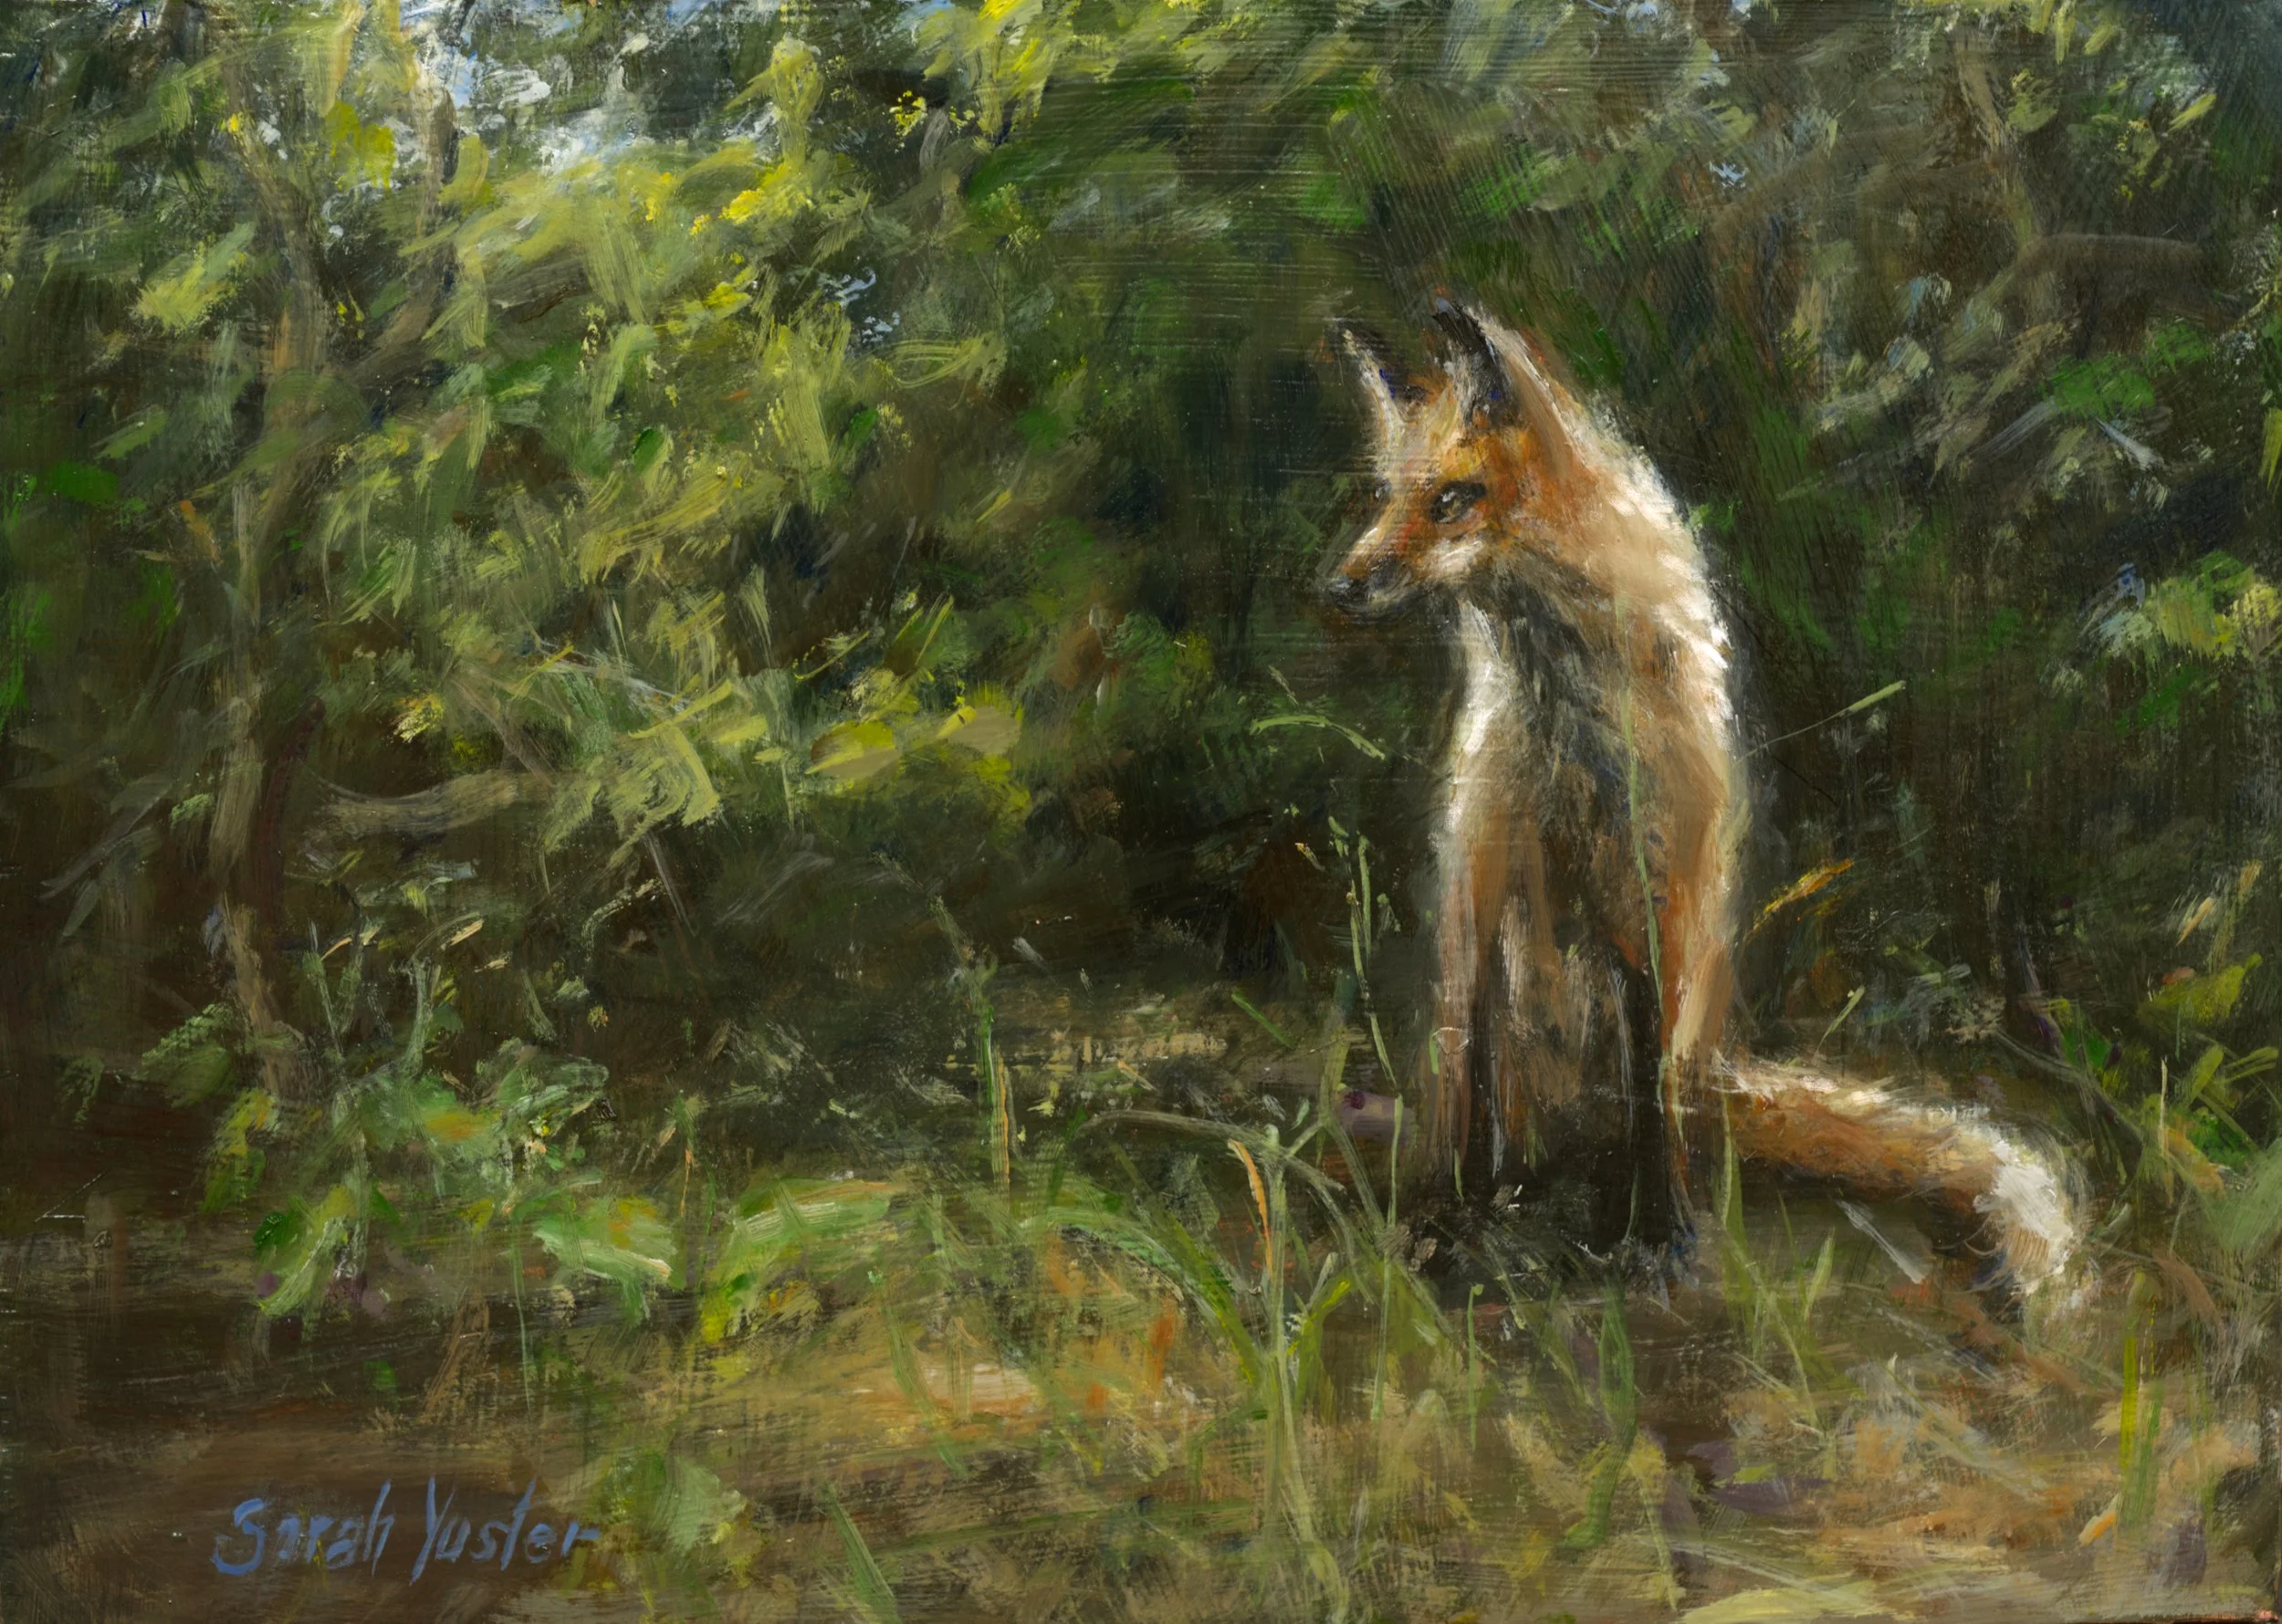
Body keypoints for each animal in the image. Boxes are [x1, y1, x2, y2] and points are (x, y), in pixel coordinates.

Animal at [1327, 301, 2078, 1290]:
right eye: (1383, 495)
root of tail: (1723, 1065)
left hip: (1668, 1011)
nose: (1337, 585)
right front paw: (1449, 1220)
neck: (1568, 727)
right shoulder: (1475, 882)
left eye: (1452, 498)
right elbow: (1468, 1084)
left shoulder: (1656, 908)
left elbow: (1647, 1095)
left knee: (1652, 1115)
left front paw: (1658, 1237)